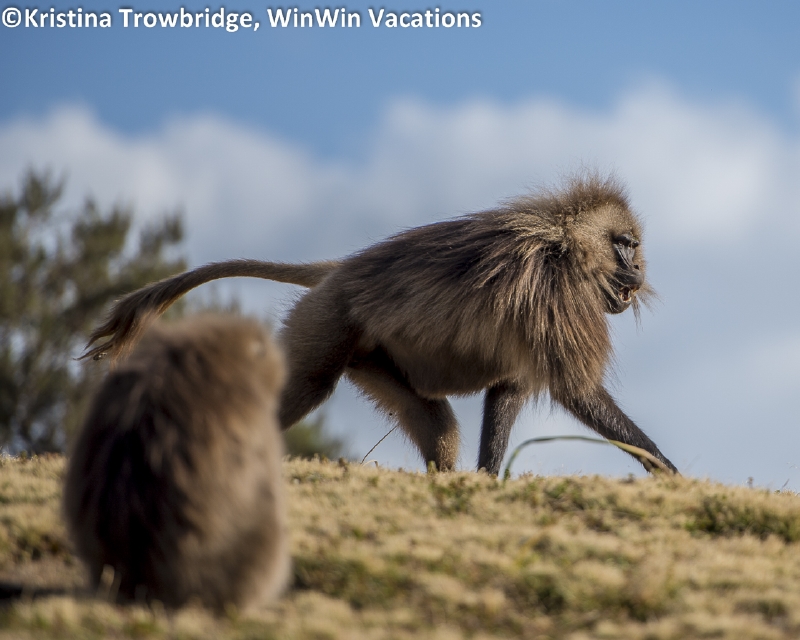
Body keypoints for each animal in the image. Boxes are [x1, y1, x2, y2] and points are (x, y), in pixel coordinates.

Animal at [82, 174, 677, 475]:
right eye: (625, 245)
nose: (637, 272)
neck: (565, 244)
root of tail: (339, 270)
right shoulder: (557, 298)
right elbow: (577, 390)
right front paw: (666, 470)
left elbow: (506, 392)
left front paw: (487, 481)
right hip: (326, 322)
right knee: (305, 388)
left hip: (371, 356)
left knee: (438, 426)